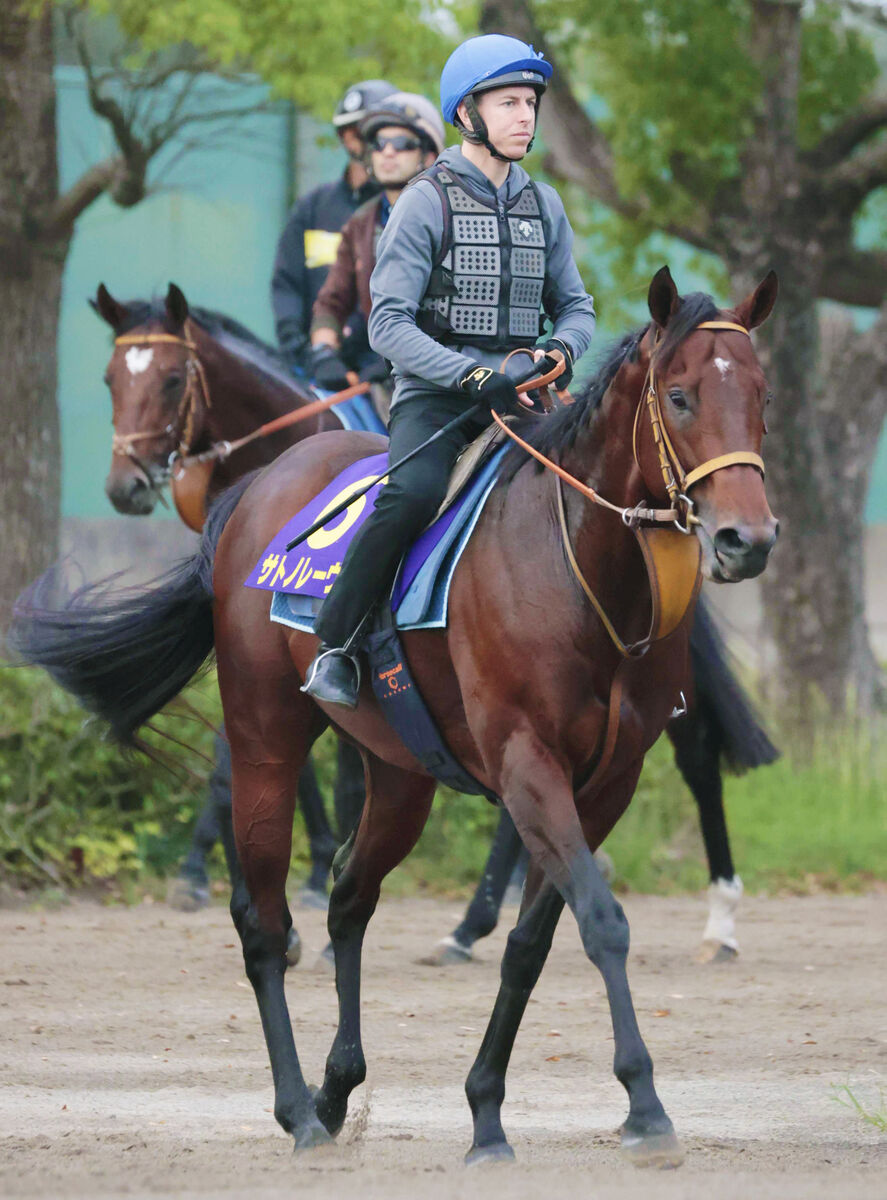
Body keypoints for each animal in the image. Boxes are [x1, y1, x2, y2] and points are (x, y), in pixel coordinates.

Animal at [12, 267, 777, 1166]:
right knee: (262, 919)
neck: (574, 561)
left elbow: (534, 943)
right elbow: (601, 921)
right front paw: (645, 1104)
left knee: (353, 897)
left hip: (403, 773)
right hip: (269, 733)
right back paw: (300, 1109)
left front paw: (487, 1110)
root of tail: (253, 495)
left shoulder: (603, 783)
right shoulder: (527, 760)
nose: (745, 538)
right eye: (680, 396)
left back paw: (340, 1083)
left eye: (759, 395)